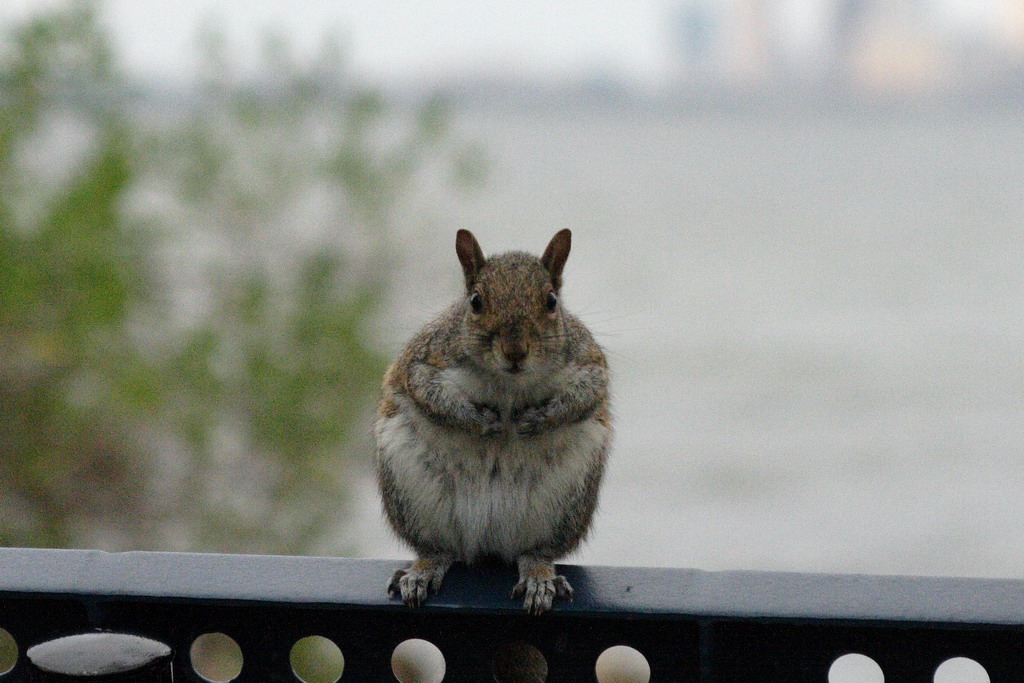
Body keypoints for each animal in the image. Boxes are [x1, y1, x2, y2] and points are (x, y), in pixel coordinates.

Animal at [378, 228, 610, 614]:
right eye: (475, 301)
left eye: (551, 301)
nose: (515, 351)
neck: (508, 383)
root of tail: (488, 544)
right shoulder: (425, 358)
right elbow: (428, 393)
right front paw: (481, 422)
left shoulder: (588, 360)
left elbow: (586, 394)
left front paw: (539, 418)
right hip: (412, 494)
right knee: (439, 549)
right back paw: (422, 571)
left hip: (563, 505)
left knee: (535, 552)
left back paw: (539, 577)